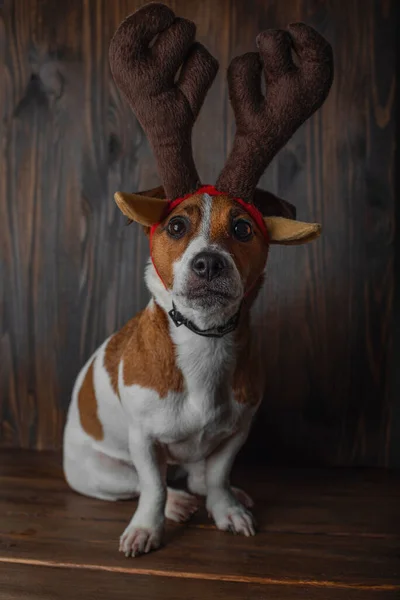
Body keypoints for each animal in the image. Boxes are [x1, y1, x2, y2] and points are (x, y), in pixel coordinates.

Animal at [62, 1, 332, 556]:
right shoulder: (144, 442)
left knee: (198, 476)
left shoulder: (237, 431)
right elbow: (151, 485)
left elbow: (220, 472)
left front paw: (226, 507)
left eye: (244, 228)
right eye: (176, 226)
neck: (203, 342)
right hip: (97, 472)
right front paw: (150, 525)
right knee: (144, 483)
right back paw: (179, 504)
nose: (208, 262)